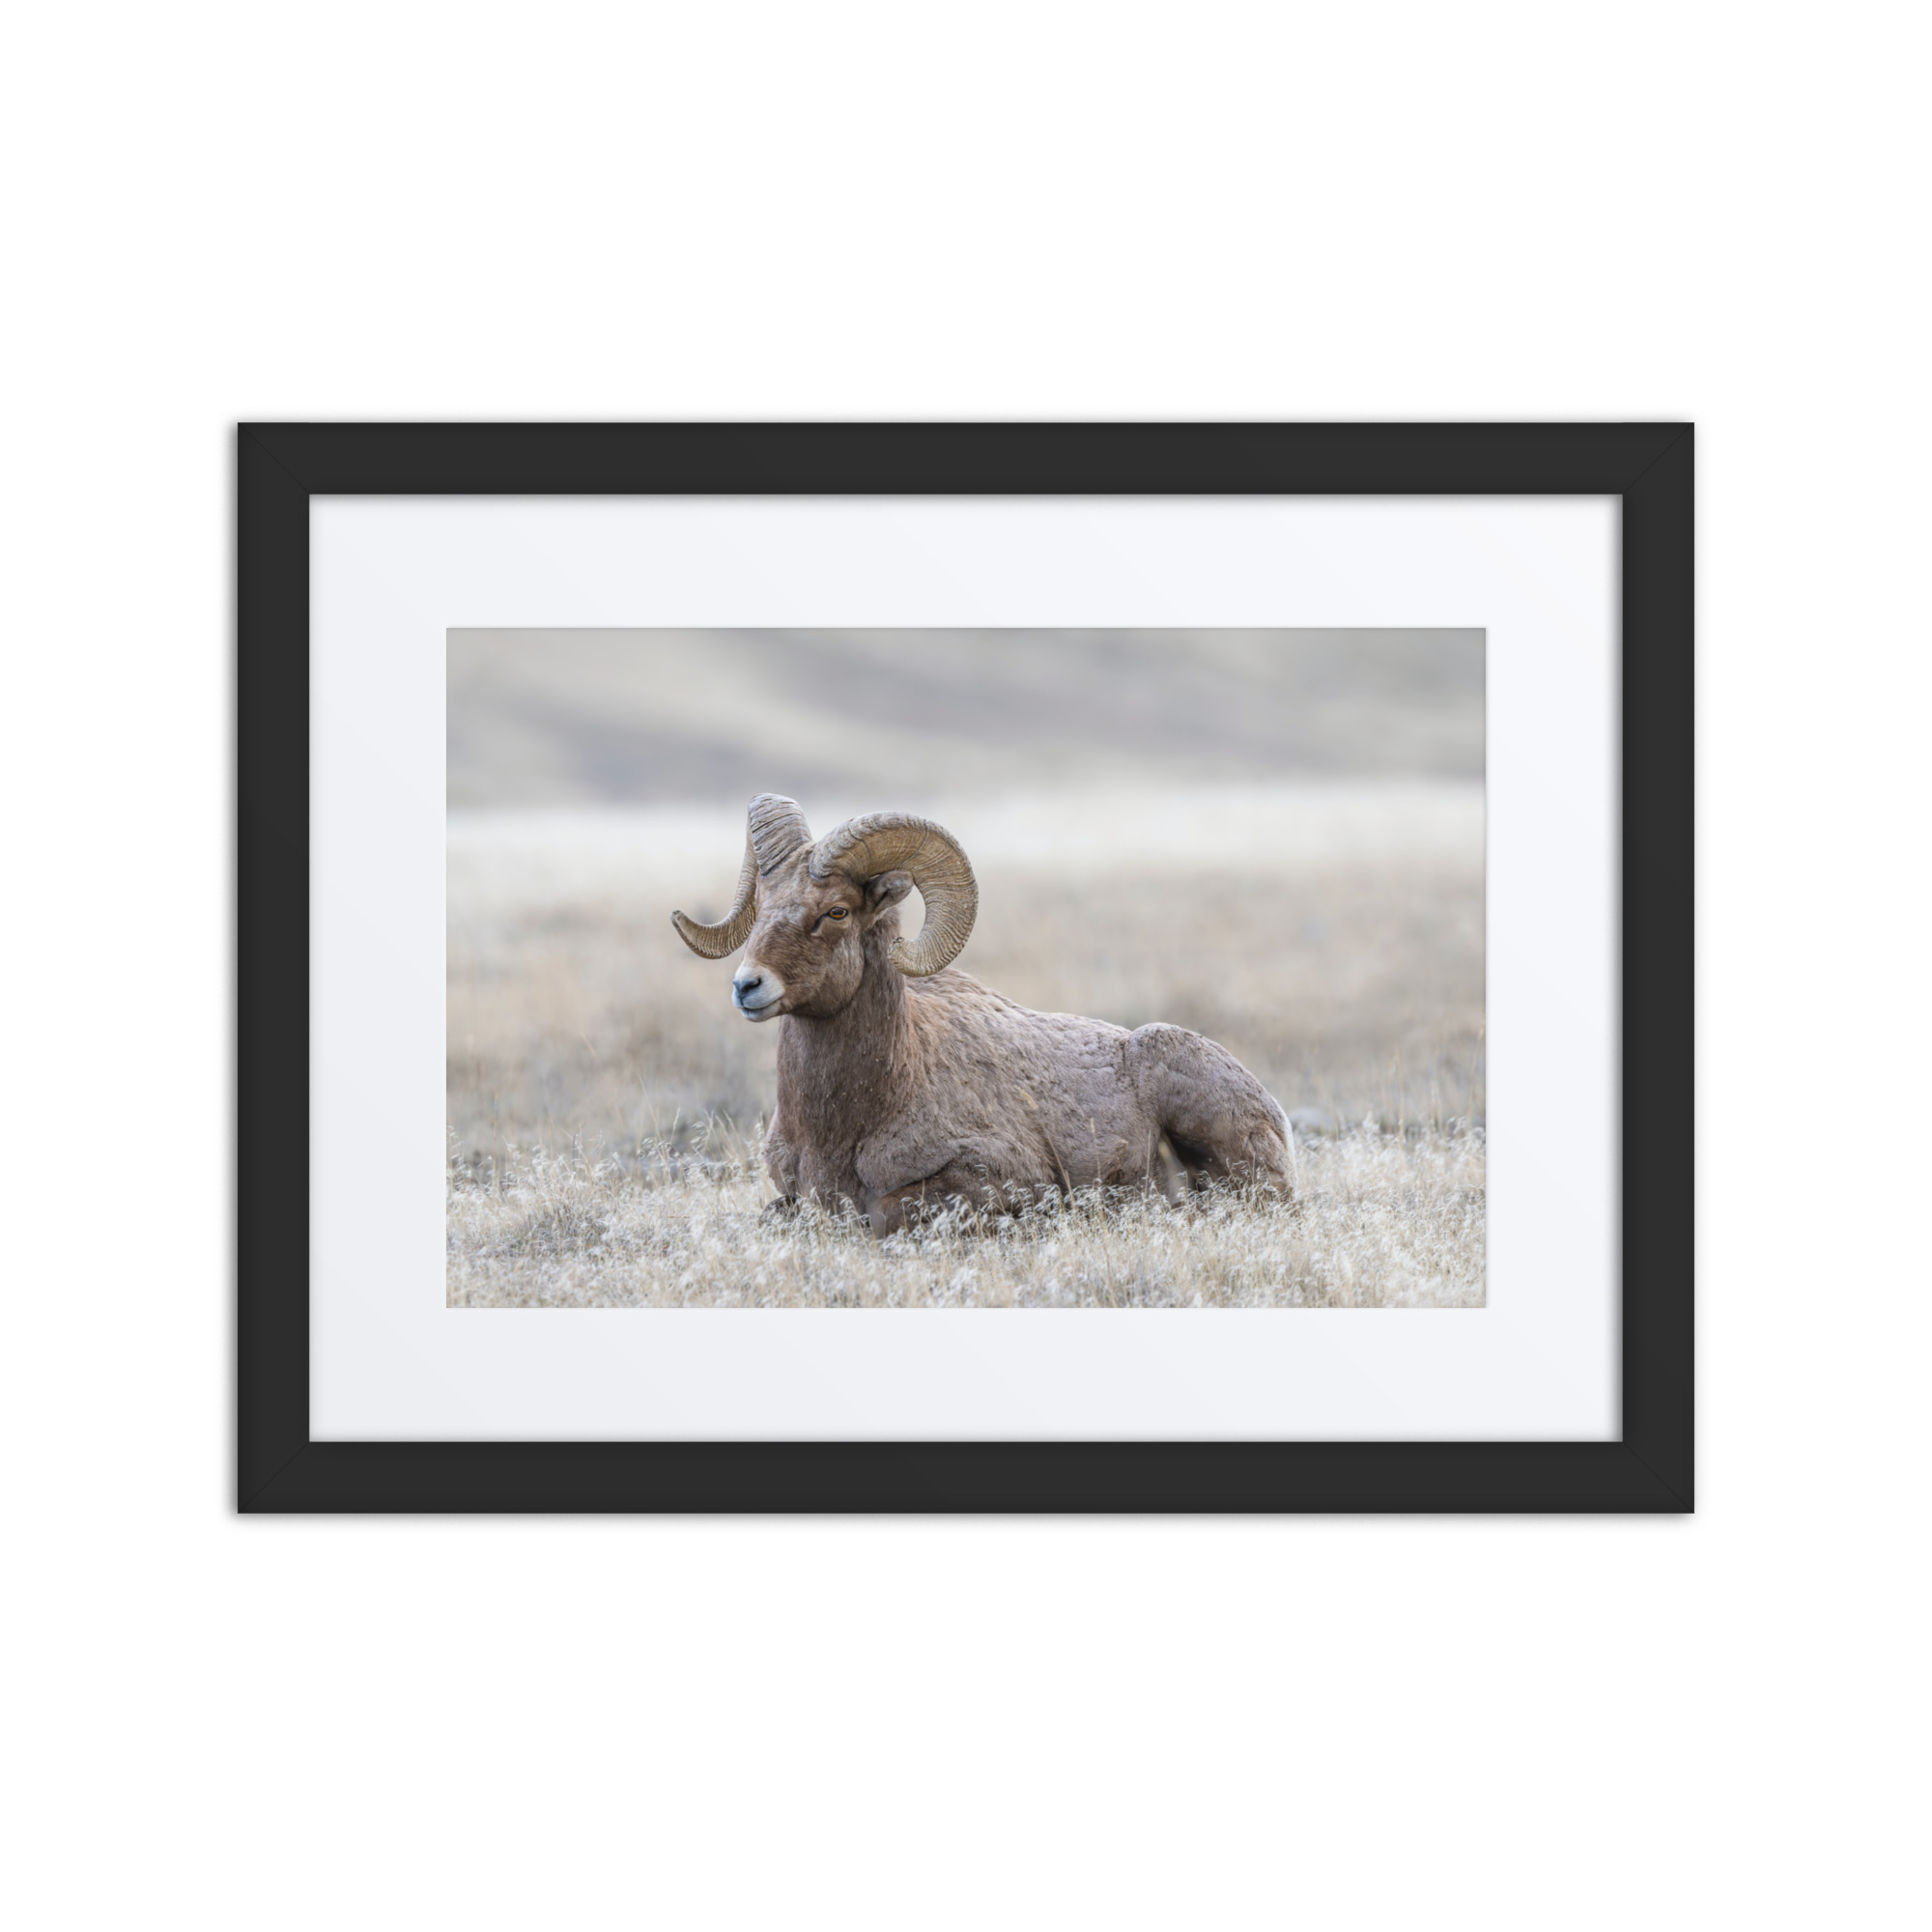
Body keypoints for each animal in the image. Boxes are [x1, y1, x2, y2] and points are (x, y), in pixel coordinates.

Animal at [672, 793, 1294, 1234]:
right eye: (762, 907)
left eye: (837, 911)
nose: (747, 986)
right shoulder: (790, 1194)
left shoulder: (1000, 1180)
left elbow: (884, 1212)